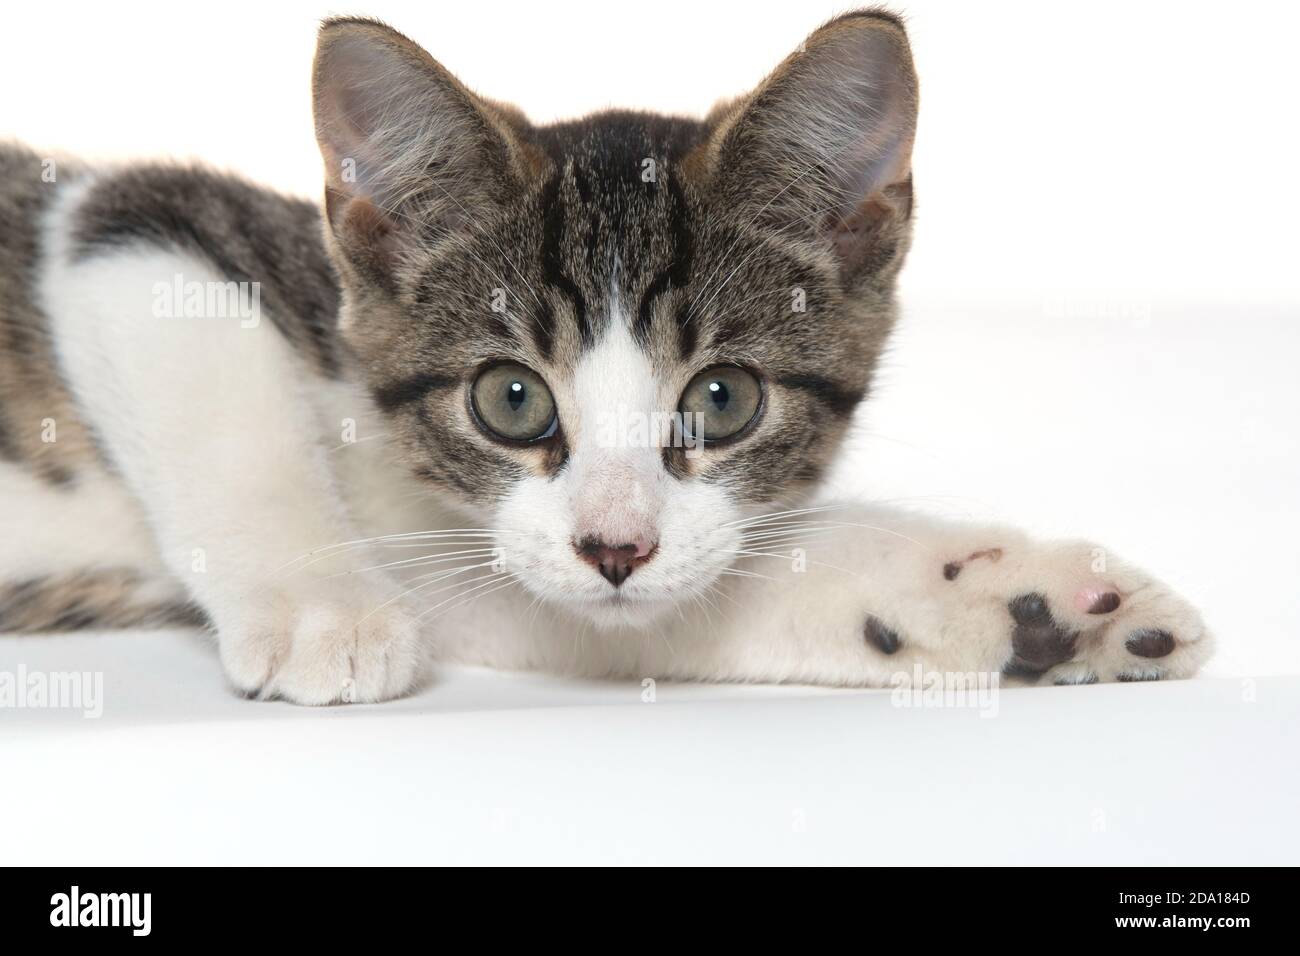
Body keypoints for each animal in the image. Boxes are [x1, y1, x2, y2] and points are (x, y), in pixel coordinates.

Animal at [0, 9, 1211, 702]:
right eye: (509, 397)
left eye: (722, 398)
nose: (615, 546)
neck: (387, 468)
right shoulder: (120, 222)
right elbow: (204, 376)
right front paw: (324, 607)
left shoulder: (510, 574)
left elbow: (656, 609)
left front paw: (1025, 607)